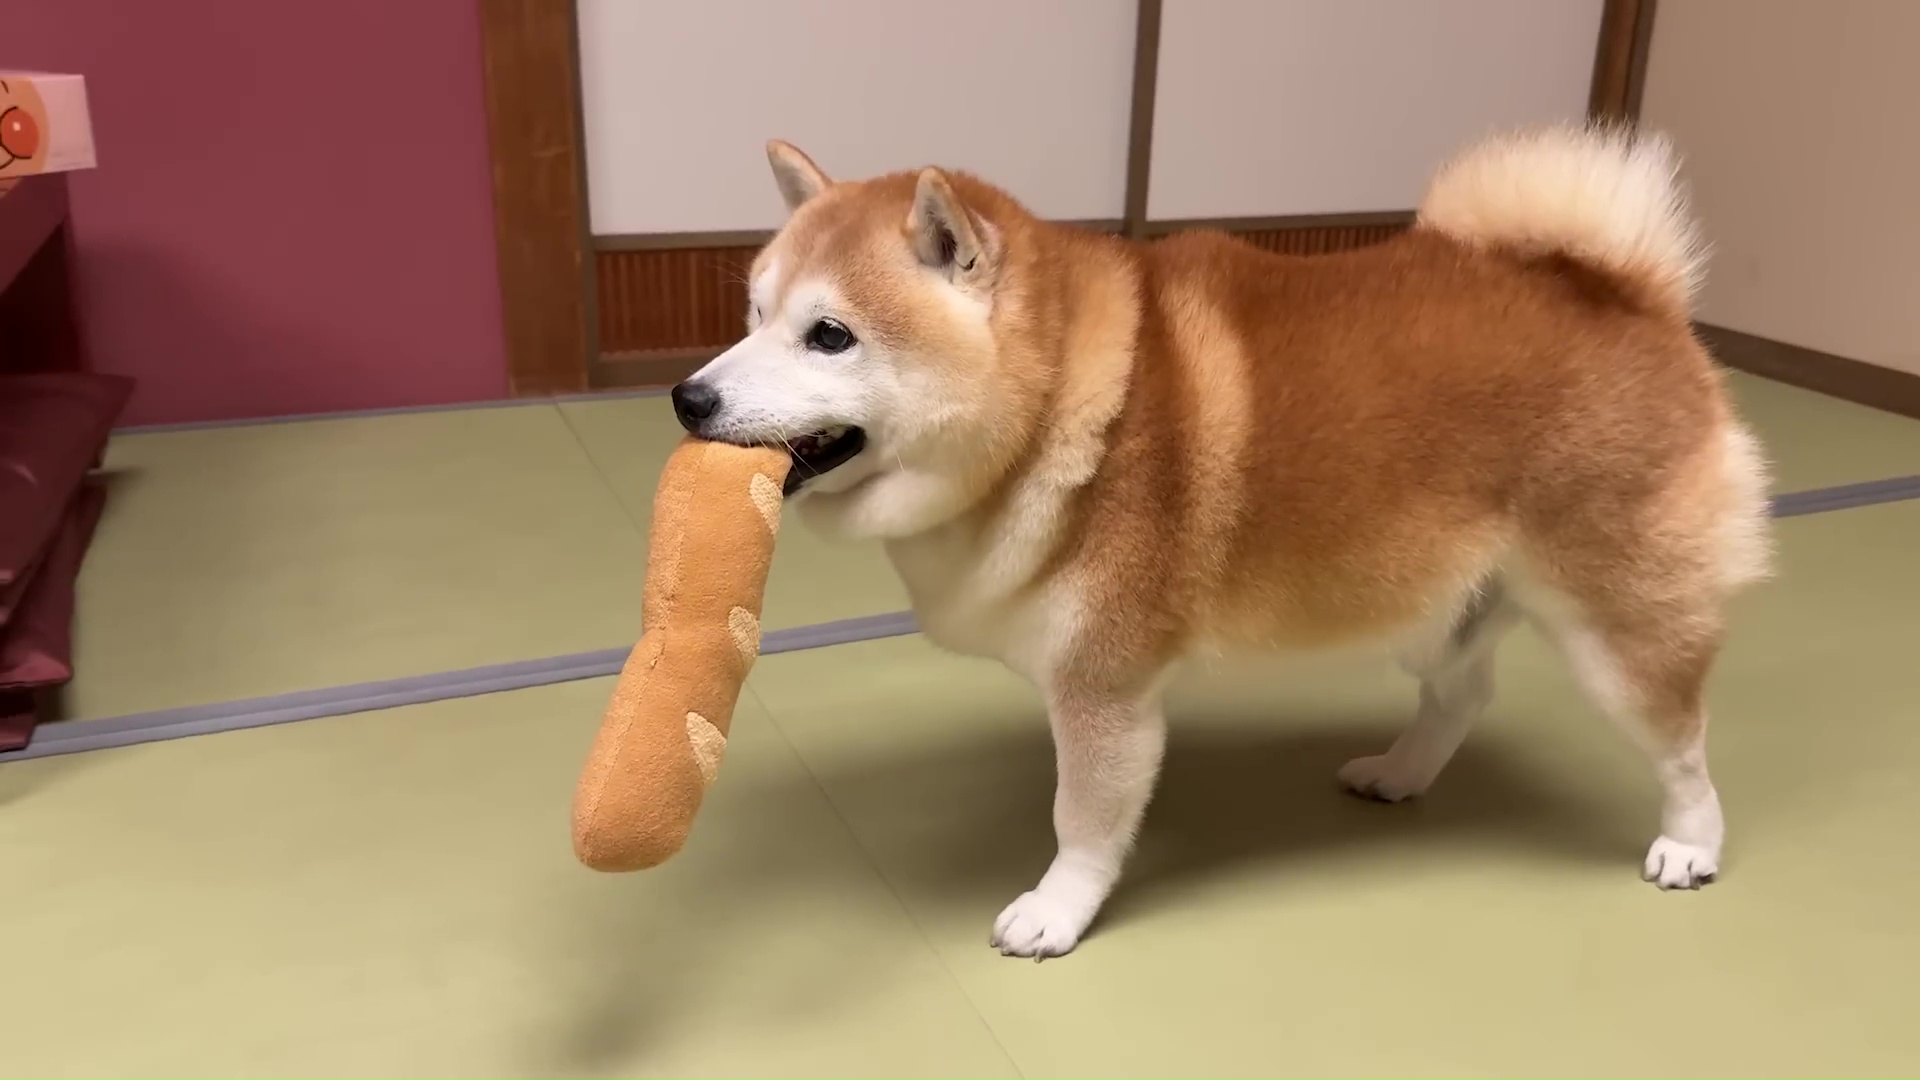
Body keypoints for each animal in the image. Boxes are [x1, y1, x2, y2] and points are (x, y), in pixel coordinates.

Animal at [670, 125, 1774, 958]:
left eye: (830, 336)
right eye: (753, 315)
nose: (689, 397)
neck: (1061, 411)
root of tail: (1634, 292)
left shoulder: (1103, 689)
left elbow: (1083, 819)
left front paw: (1056, 911)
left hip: (1615, 631)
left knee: (1683, 742)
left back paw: (1691, 846)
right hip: (1430, 601)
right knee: (1462, 696)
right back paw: (1402, 773)